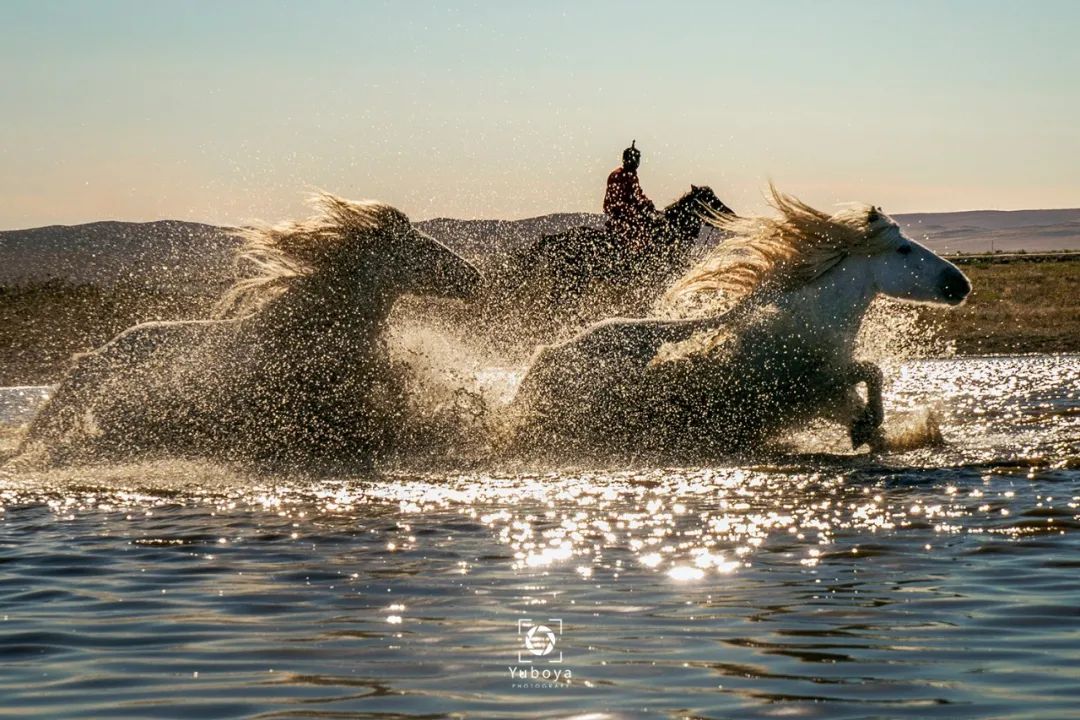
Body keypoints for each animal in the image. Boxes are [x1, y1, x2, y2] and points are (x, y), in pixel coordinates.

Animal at [509, 183, 976, 459]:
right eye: (902, 249)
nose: (960, 284)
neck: (807, 314)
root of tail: (542, 358)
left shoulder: (827, 391)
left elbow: (868, 388)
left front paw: (872, 433)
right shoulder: (811, 382)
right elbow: (870, 371)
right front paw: (867, 427)